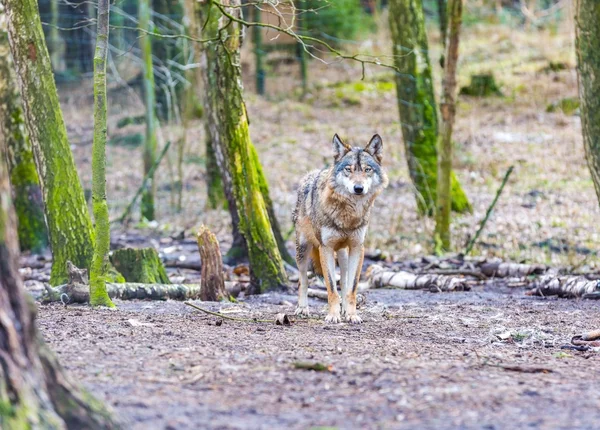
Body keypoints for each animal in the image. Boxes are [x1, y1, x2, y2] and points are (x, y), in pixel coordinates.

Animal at [292, 134, 390, 322]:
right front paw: (333, 316)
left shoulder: (358, 247)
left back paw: (344, 310)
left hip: (344, 254)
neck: (348, 215)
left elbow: (351, 288)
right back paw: (302, 308)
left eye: (367, 169)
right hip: (303, 251)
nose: (358, 188)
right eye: (348, 169)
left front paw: (351, 315)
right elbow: (331, 287)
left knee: (344, 281)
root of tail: (310, 174)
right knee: (303, 280)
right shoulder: (326, 248)